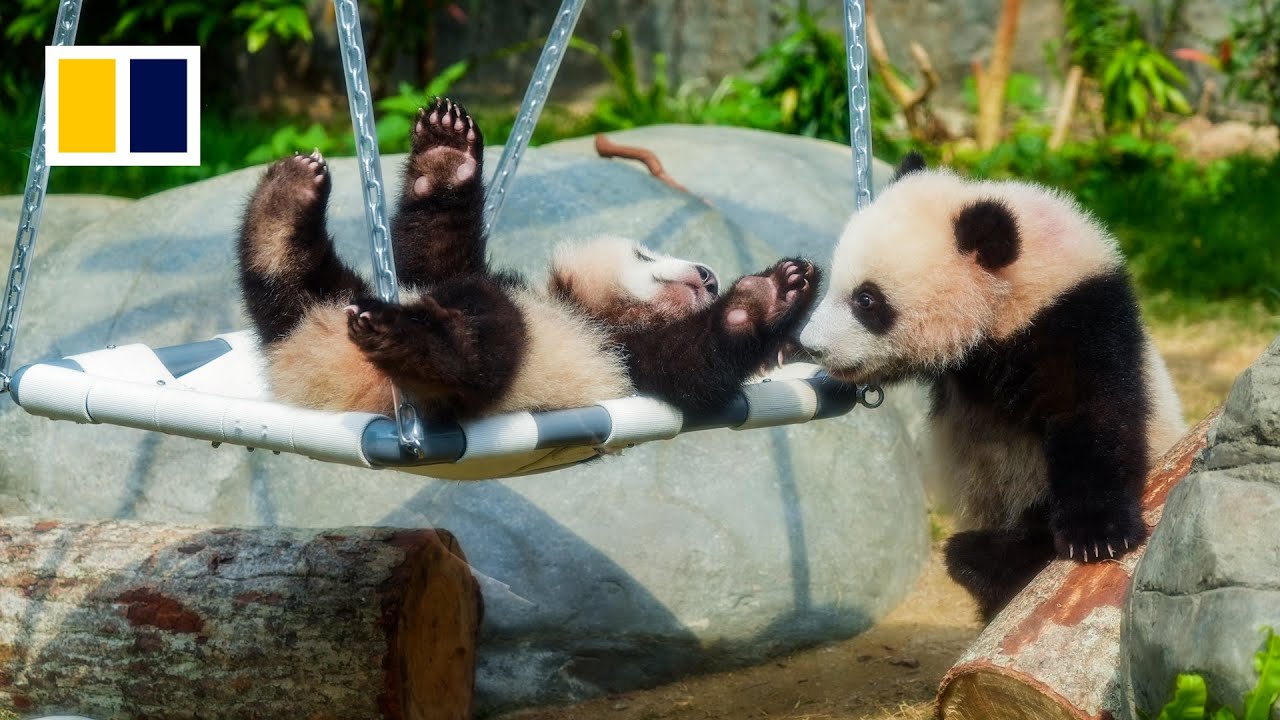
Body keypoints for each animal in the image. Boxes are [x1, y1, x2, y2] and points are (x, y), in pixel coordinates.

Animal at [237, 97, 818, 423]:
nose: (709, 277)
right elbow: (432, 258)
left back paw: (411, 338)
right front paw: (444, 153)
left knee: (488, 344)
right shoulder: (475, 274)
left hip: (477, 378)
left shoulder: (628, 362)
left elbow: (693, 364)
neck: (598, 313)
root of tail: (309, 375)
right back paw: (281, 206)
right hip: (331, 305)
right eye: (644, 251)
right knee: (294, 288)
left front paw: (766, 297)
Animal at [797, 153, 1186, 621]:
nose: (811, 346)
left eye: (867, 300)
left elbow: (1094, 412)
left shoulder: (1076, 319)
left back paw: (982, 557)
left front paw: (1097, 534)